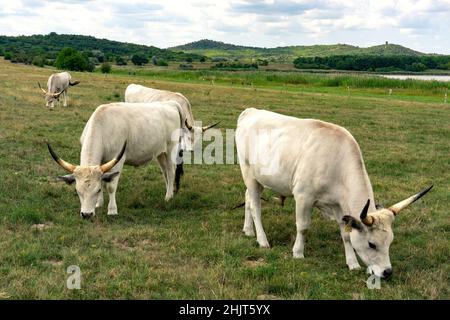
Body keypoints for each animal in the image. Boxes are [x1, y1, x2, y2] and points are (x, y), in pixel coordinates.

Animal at [46, 101, 186, 219]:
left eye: (96, 190)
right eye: (77, 191)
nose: (86, 214)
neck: (102, 126)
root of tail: (171, 103)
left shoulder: (118, 160)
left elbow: (111, 186)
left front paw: (112, 210)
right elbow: (103, 181)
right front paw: (99, 203)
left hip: (171, 149)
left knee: (171, 171)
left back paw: (168, 196)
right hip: (160, 153)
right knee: (165, 172)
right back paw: (169, 191)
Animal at [236, 107, 432, 278]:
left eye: (390, 241)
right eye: (372, 244)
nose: (387, 272)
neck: (337, 162)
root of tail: (251, 111)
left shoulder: (338, 205)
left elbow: (346, 235)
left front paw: (352, 263)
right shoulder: (303, 196)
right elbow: (303, 227)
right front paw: (298, 252)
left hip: (257, 179)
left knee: (248, 199)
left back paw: (248, 230)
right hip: (249, 174)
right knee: (255, 207)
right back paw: (262, 240)